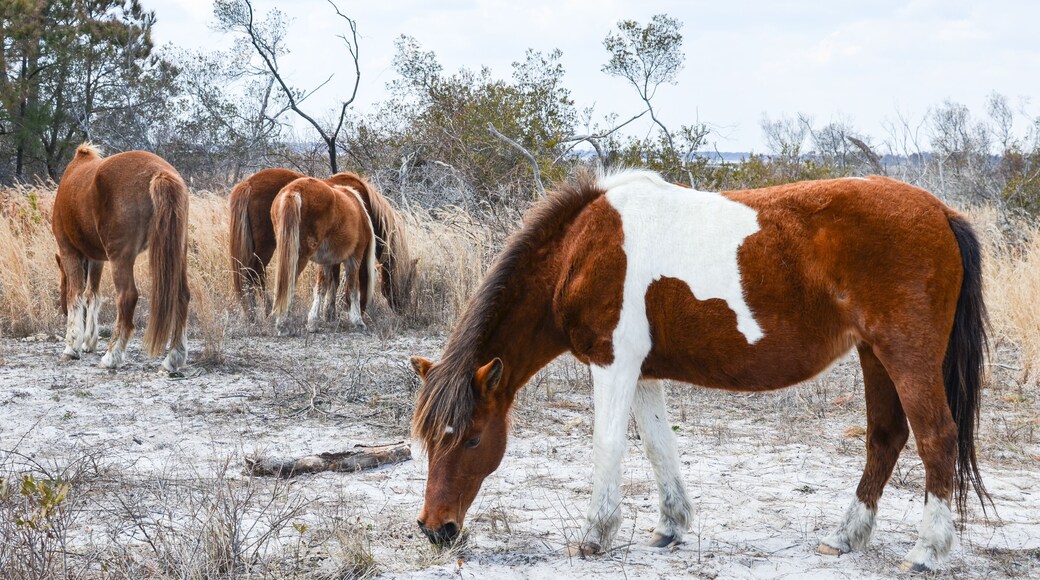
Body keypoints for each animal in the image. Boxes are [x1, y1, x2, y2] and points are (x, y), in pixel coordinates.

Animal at [52, 144, 190, 372]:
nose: (61, 309)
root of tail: (160, 173)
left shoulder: (69, 251)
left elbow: (76, 295)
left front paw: (72, 347)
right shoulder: (97, 258)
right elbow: (92, 294)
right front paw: (89, 341)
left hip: (120, 257)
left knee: (127, 297)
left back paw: (112, 356)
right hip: (177, 252)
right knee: (182, 296)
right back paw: (173, 359)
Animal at [229, 169, 415, 318]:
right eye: (404, 282)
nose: (402, 309)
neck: (362, 202)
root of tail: (248, 183)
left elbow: (333, 279)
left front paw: (328, 312)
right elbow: (337, 280)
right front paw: (331, 312)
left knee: (249, 275)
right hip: (267, 246)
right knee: (254, 274)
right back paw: (265, 311)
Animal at [269, 177, 376, 334]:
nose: (363, 312)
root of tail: (294, 190)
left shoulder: (326, 261)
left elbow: (322, 287)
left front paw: (313, 322)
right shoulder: (354, 258)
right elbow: (353, 287)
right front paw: (358, 322)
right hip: (300, 256)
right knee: (289, 283)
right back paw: (283, 325)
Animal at [409, 169, 989, 572]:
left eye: (471, 438)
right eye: (429, 441)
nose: (436, 529)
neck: (580, 253)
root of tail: (941, 213)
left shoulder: (613, 364)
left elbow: (608, 445)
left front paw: (595, 535)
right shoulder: (642, 372)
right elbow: (658, 446)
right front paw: (671, 526)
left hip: (907, 356)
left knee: (936, 438)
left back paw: (926, 552)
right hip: (874, 355)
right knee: (885, 438)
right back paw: (846, 537)